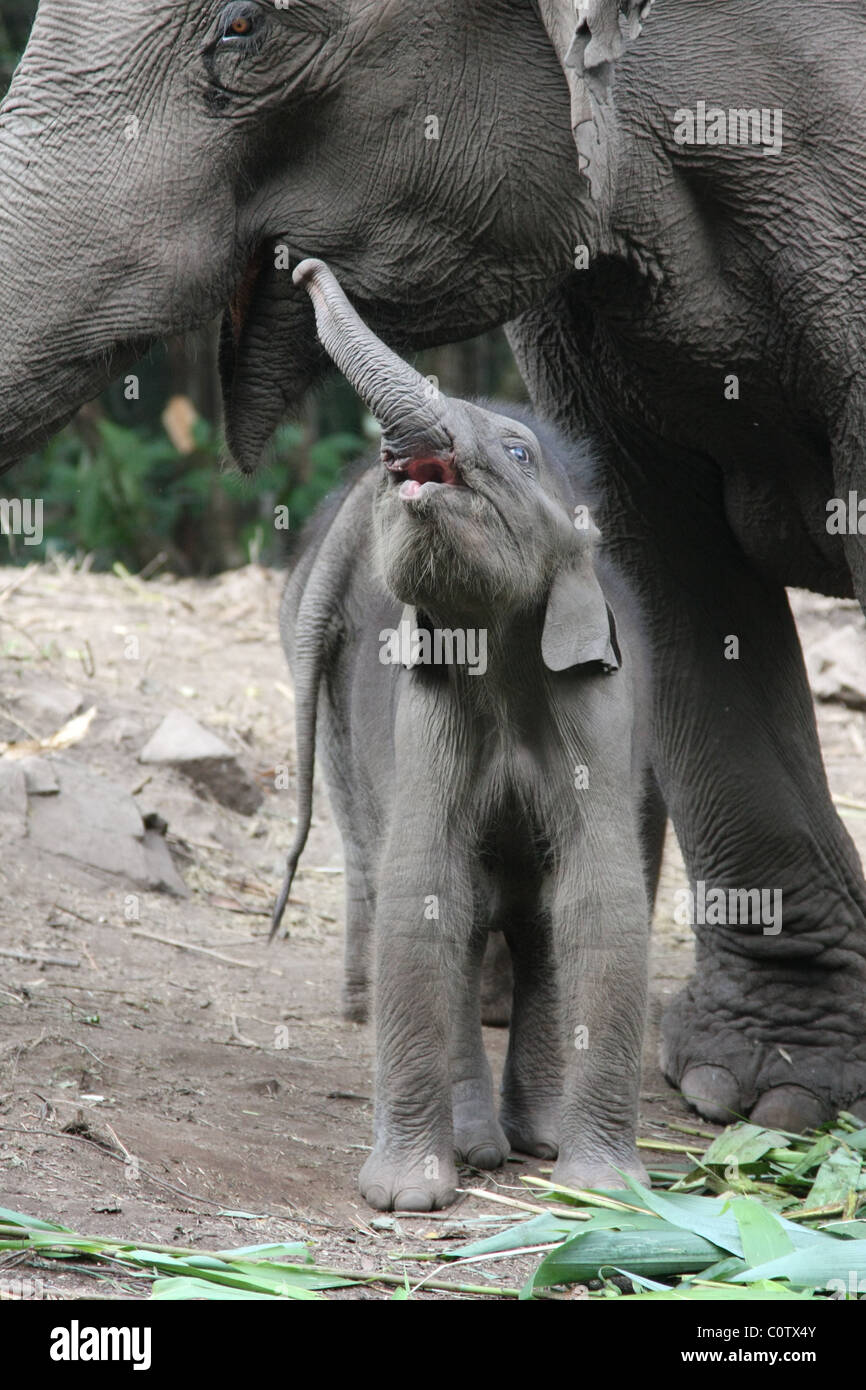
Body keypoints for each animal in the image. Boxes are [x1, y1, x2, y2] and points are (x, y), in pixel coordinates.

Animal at [276, 261, 650, 1217]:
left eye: (518, 453)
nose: (301, 264)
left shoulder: (600, 702)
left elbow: (596, 897)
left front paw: (605, 1196)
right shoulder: (424, 710)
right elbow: (428, 890)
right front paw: (406, 1200)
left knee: (535, 916)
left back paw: (536, 1140)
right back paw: (482, 1146)